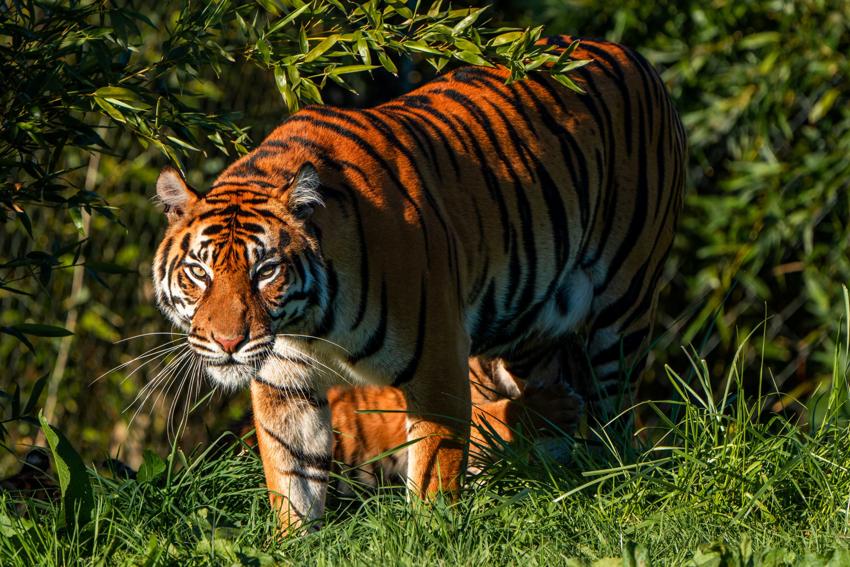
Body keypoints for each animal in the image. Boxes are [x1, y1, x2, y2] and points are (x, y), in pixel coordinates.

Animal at [151, 35, 686, 533]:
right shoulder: (286, 386)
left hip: (624, 303)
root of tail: (622, 51)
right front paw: (292, 544)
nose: (228, 343)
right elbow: (293, 478)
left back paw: (607, 473)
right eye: (199, 272)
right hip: (529, 326)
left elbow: (432, 473)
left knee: (614, 410)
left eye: (265, 271)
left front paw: (431, 536)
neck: (309, 324)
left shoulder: (437, 365)